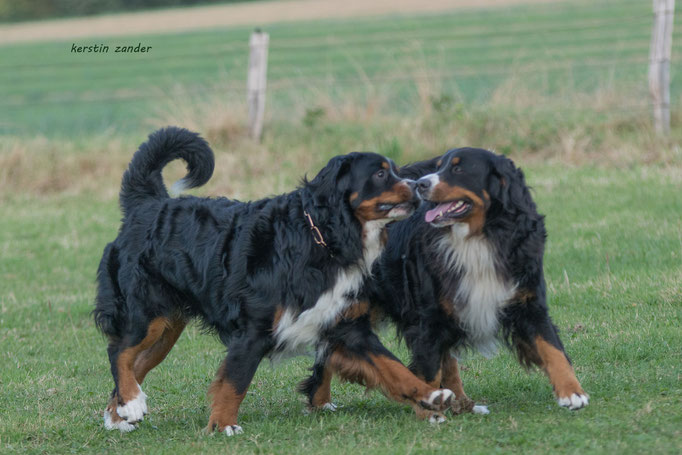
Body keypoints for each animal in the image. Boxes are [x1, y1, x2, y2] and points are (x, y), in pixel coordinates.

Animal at [91, 126, 452, 436]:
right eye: (380, 174)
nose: (419, 185)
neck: (323, 238)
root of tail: (148, 204)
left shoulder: (346, 327)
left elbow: (394, 368)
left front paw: (431, 396)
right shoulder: (254, 330)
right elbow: (234, 381)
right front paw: (223, 425)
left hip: (166, 329)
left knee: (134, 363)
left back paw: (121, 413)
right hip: (146, 315)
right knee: (118, 352)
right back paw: (131, 403)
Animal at [300, 148, 588, 416]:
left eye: (458, 169)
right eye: (439, 167)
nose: (420, 184)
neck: (476, 239)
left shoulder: (527, 301)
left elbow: (552, 347)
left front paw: (572, 393)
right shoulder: (428, 318)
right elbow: (429, 370)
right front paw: (430, 409)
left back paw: (462, 402)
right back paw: (321, 401)